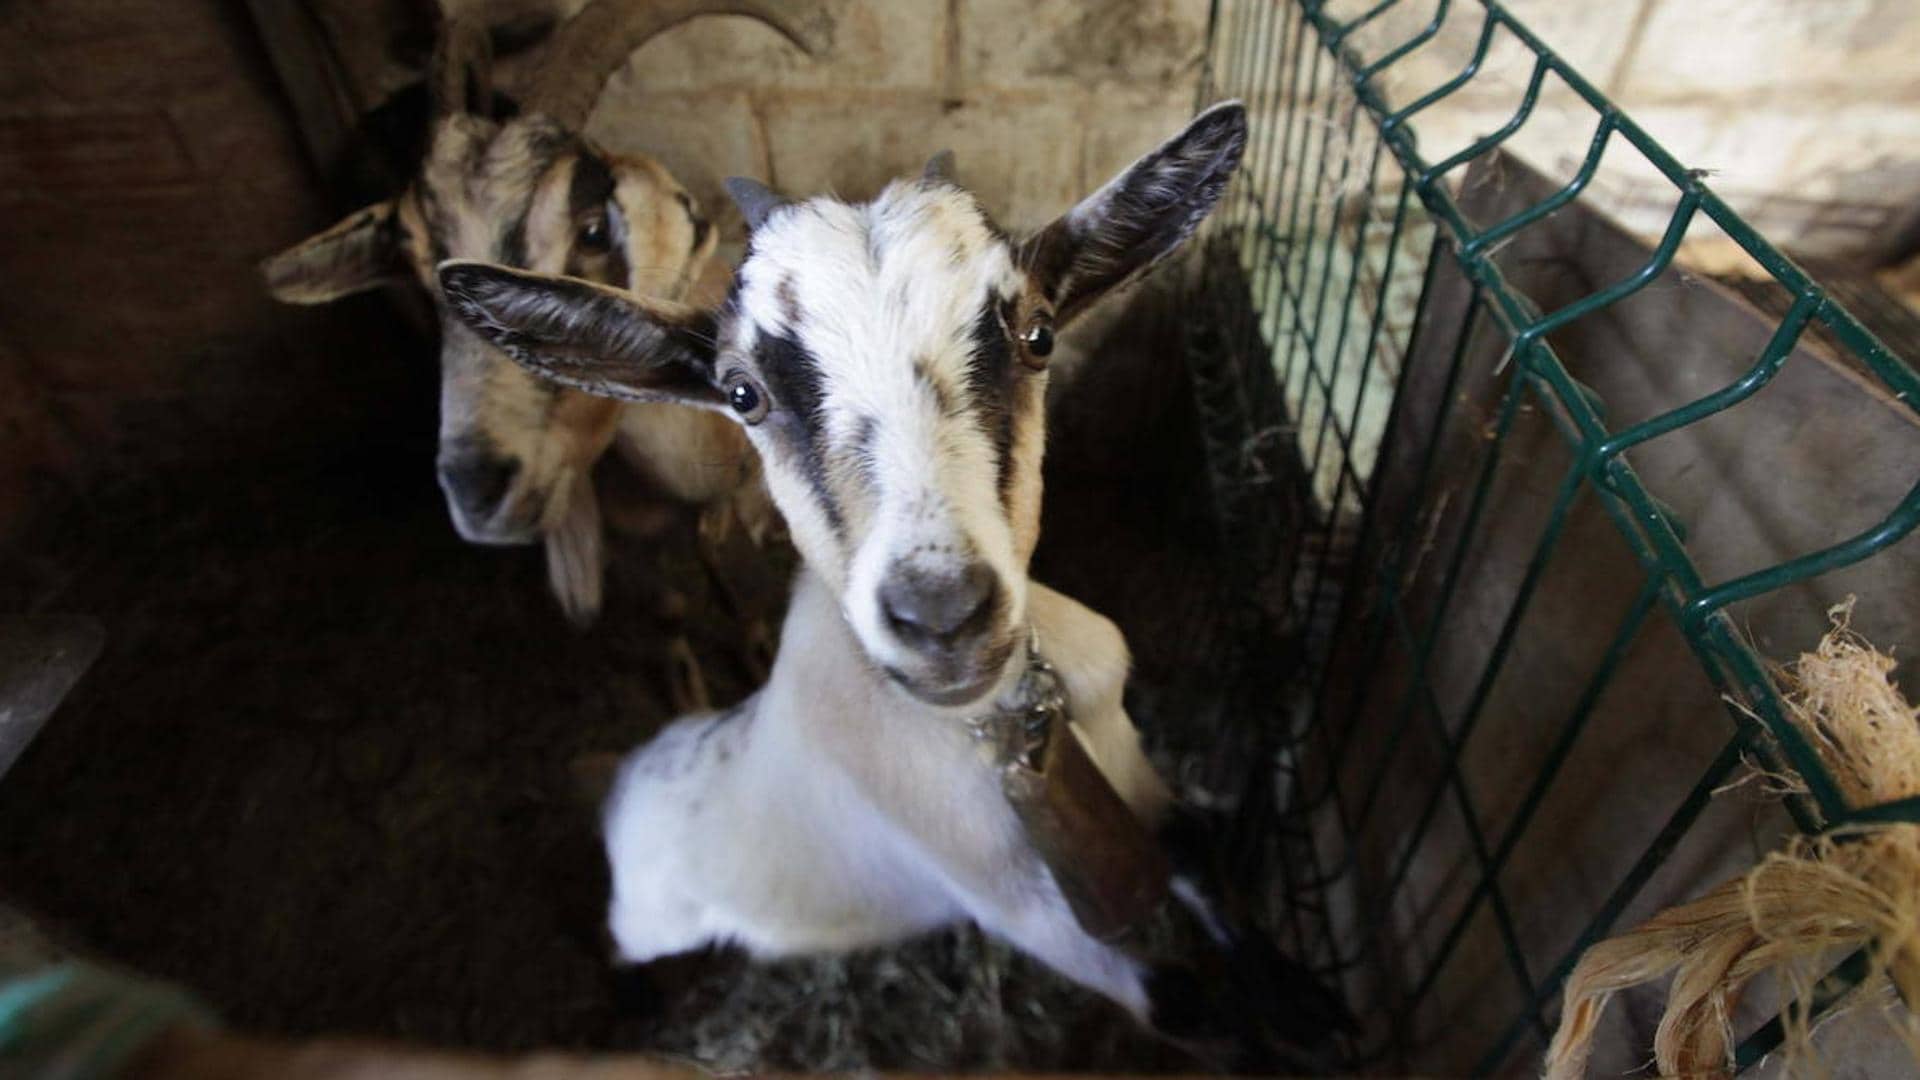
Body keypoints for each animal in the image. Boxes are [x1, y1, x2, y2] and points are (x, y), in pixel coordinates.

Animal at [259, 1, 826, 664]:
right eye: (417, 265)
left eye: (593, 230)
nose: (479, 494)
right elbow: (669, 607)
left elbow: (723, 552)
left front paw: (758, 641)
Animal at [439, 103, 1350, 1062]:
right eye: (742, 392)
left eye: (1038, 336)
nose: (943, 615)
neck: (988, 728)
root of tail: (630, 775)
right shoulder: (1019, 906)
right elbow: (1187, 1005)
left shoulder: (1129, 769)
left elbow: (1197, 854)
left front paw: (1307, 1004)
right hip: (652, 914)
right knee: (616, 941)